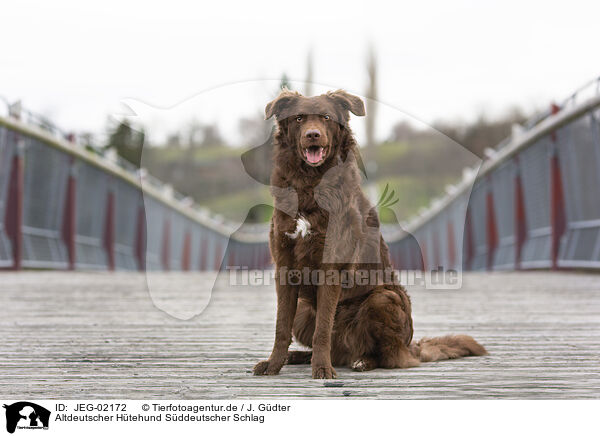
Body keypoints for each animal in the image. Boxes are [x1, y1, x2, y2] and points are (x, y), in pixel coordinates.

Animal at [251, 89, 486, 378]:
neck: (311, 184)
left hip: (383, 299)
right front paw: (274, 364)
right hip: (304, 310)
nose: (313, 135)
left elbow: (322, 329)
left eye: (326, 118)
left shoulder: (331, 266)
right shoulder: (285, 266)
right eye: (299, 118)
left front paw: (322, 369)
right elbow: (281, 326)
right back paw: (299, 357)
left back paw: (362, 361)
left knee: (390, 355)